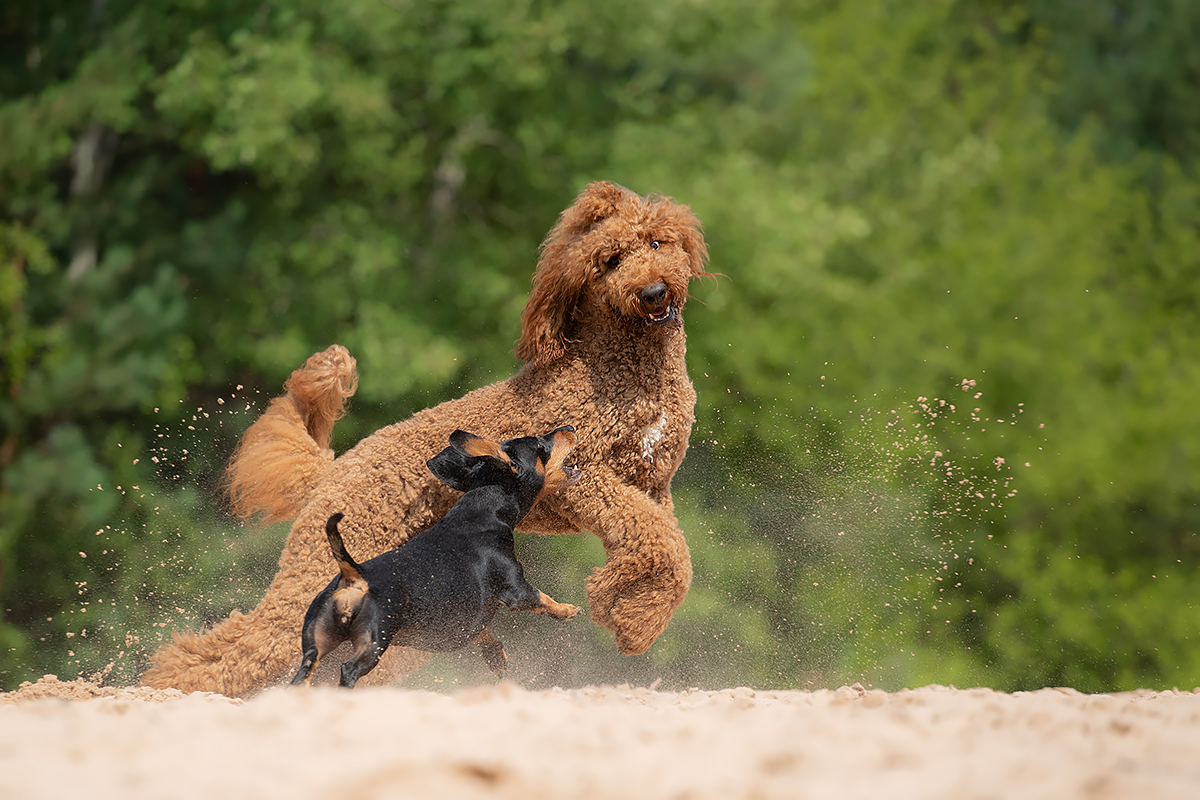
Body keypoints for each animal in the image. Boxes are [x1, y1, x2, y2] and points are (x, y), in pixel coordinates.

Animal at [290, 424, 580, 690]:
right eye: (540, 445)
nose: (569, 427)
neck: (483, 512)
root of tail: (355, 575)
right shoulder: (516, 589)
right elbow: (543, 599)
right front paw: (567, 610)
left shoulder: (465, 618)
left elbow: (483, 633)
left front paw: (495, 656)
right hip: (374, 640)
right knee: (349, 670)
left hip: (316, 644)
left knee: (304, 672)